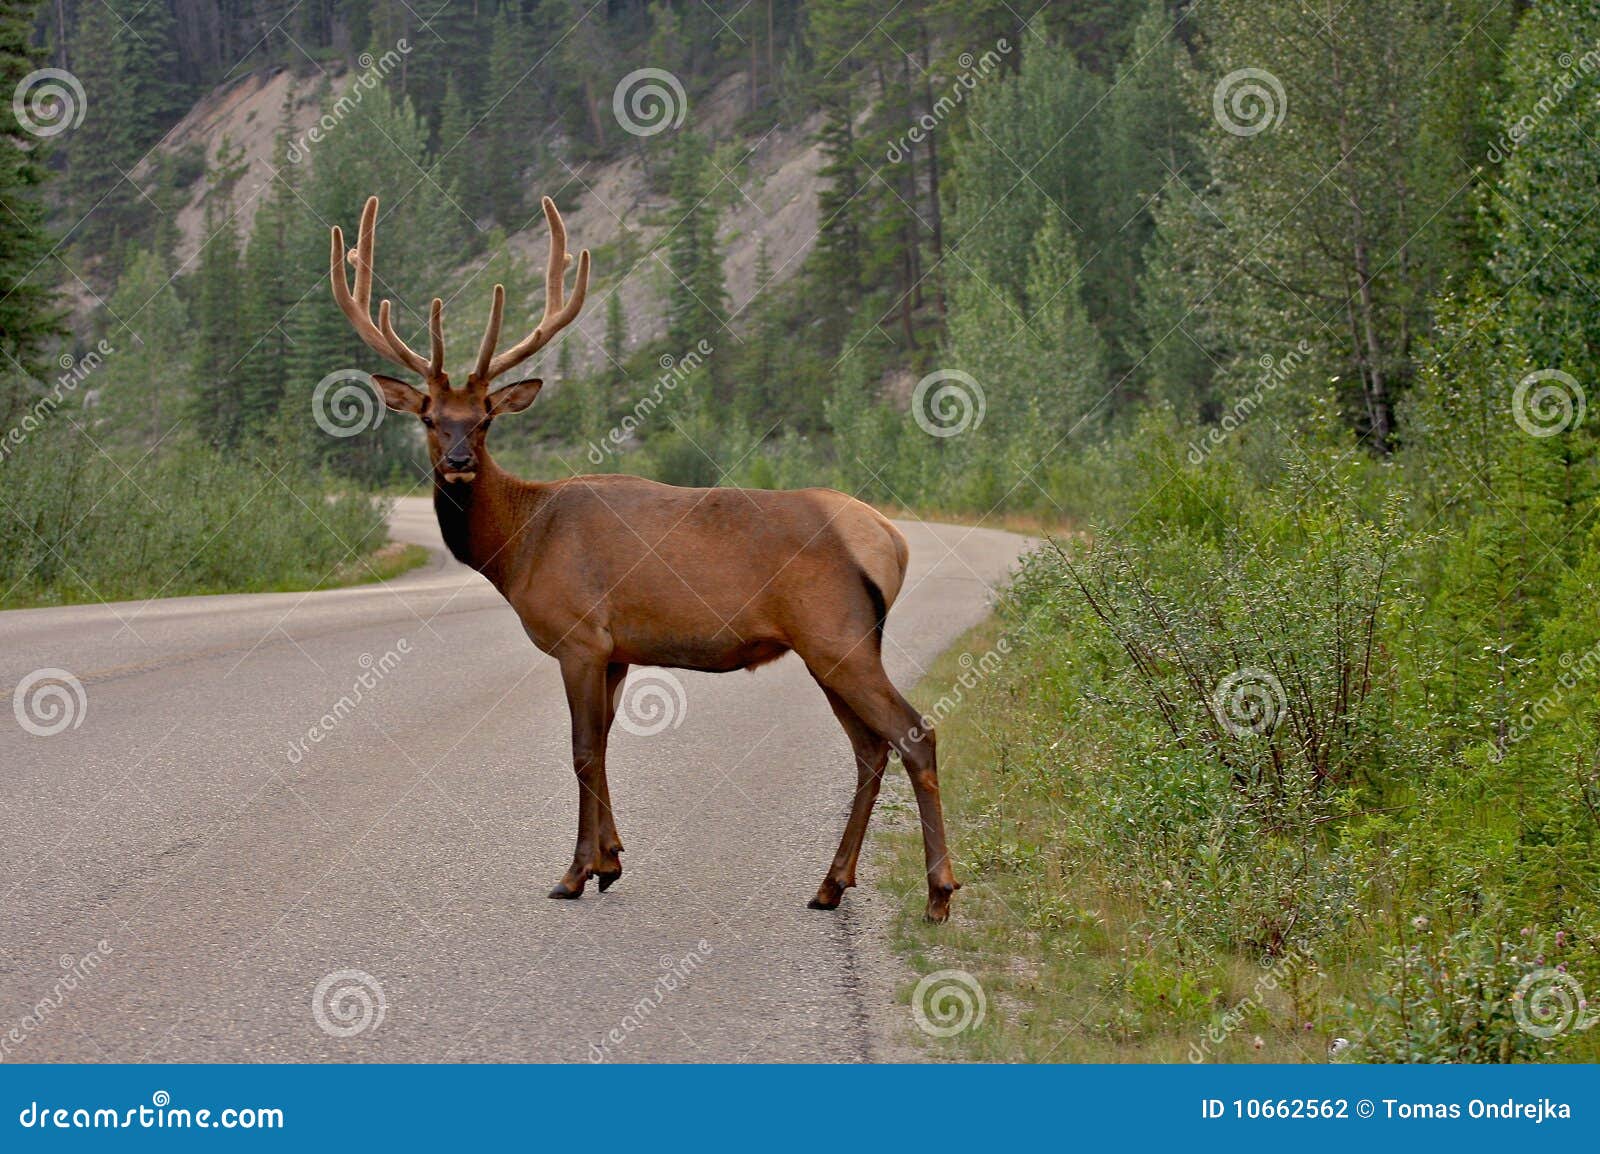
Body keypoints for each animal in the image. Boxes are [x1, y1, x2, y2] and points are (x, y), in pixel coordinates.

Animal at [330, 194, 959, 921]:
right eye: (430, 417)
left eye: (485, 416)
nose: (459, 463)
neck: (519, 545)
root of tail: (890, 539)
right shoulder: (618, 649)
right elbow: (603, 745)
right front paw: (611, 859)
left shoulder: (579, 636)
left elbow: (580, 750)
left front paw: (575, 872)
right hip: (837, 645)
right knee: (869, 748)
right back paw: (831, 884)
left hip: (836, 635)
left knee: (914, 734)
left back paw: (938, 892)